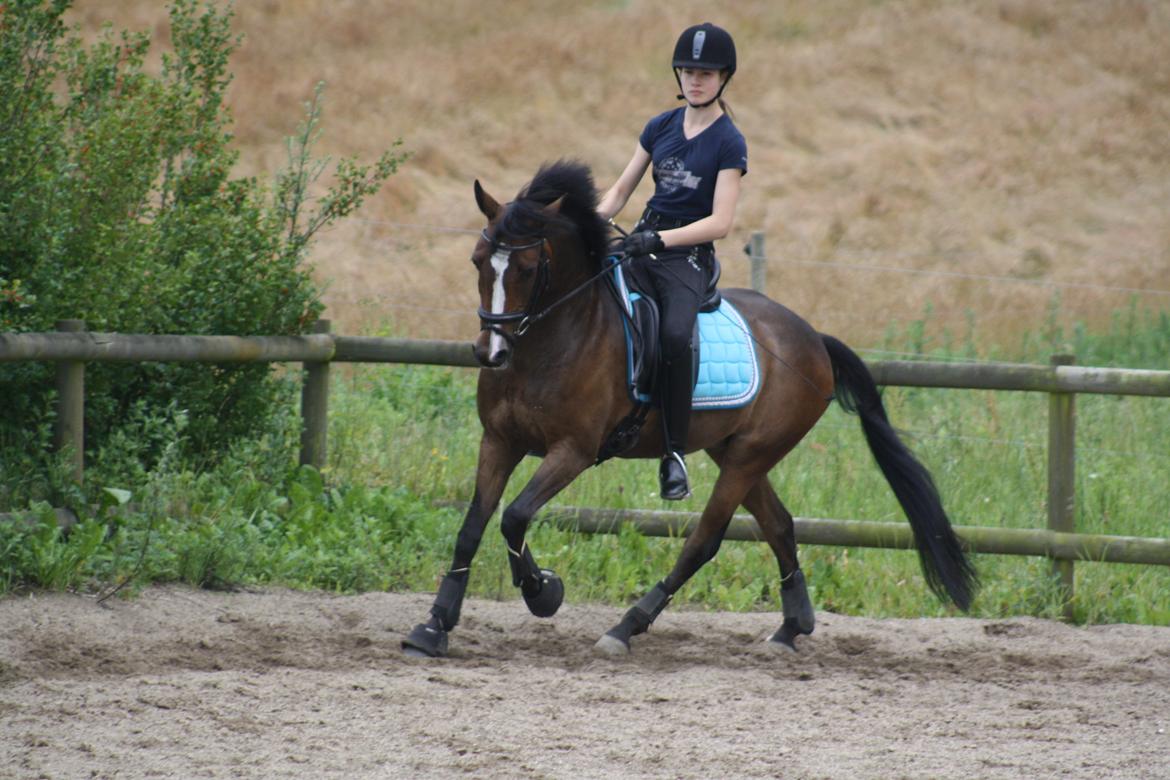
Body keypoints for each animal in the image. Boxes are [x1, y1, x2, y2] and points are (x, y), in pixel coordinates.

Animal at [402, 160, 977, 658]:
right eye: (478, 262)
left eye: (525, 267)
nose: (490, 353)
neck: (552, 339)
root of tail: (814, 338)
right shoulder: (499, 441)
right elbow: (473, 526)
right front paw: (434, 626)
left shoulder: (573, 451)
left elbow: (515, 516)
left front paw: (542, 591)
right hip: (735, 451)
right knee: (780, 525)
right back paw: (791, 628)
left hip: (748, 457)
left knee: (704, 540)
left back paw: (626, 626)